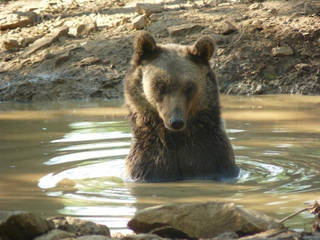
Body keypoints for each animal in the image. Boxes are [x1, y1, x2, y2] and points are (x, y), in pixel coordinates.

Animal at [124, 31, 239, 182]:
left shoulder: (212, 157)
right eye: (160, 85)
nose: (176, 122)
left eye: (189, 87)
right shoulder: (149, 161)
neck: (177, 138)